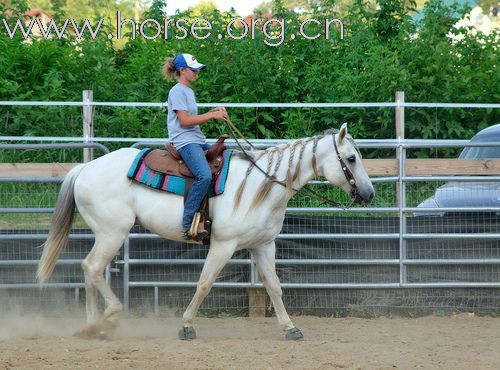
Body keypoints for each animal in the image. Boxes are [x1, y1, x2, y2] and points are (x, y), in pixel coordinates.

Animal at [38, 123, 372, 340]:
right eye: (351, 158)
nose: (369, 194)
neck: (259, 186)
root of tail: (85, 169)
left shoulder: (264, 245)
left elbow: (274, 286)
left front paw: (290, 327)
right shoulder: (223, 245)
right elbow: (204, 283)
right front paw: (186, 326)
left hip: (106, 234)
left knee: (88, 269)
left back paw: (92, 326)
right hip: (112, 233)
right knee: (93, 268)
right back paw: (107, 317)